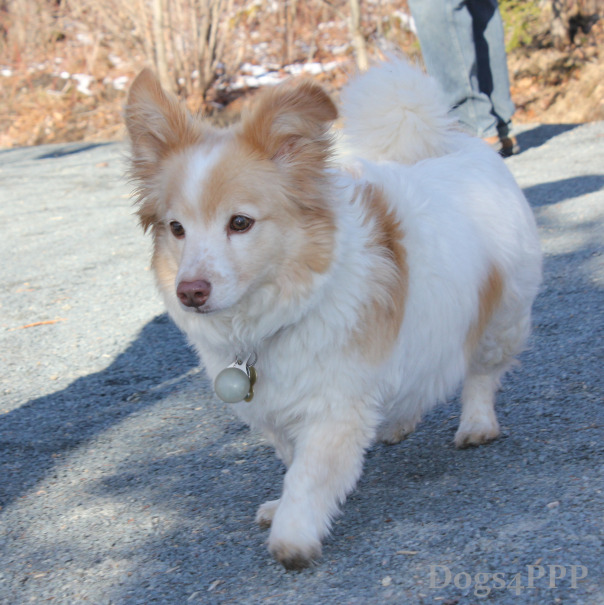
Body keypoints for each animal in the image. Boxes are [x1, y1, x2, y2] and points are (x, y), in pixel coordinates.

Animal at [126, 59, 544, 568]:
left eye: (240, 223)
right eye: (176, 228)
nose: (190, 292)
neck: (274, 315)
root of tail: (460, 143)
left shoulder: (333, 407)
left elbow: (310, 476)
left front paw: (293, 535)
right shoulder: (279, 411)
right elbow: (293, 463)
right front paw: (282, 505)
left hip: (502, 319)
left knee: (482, 374)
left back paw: (477, 425)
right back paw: (397, 423)